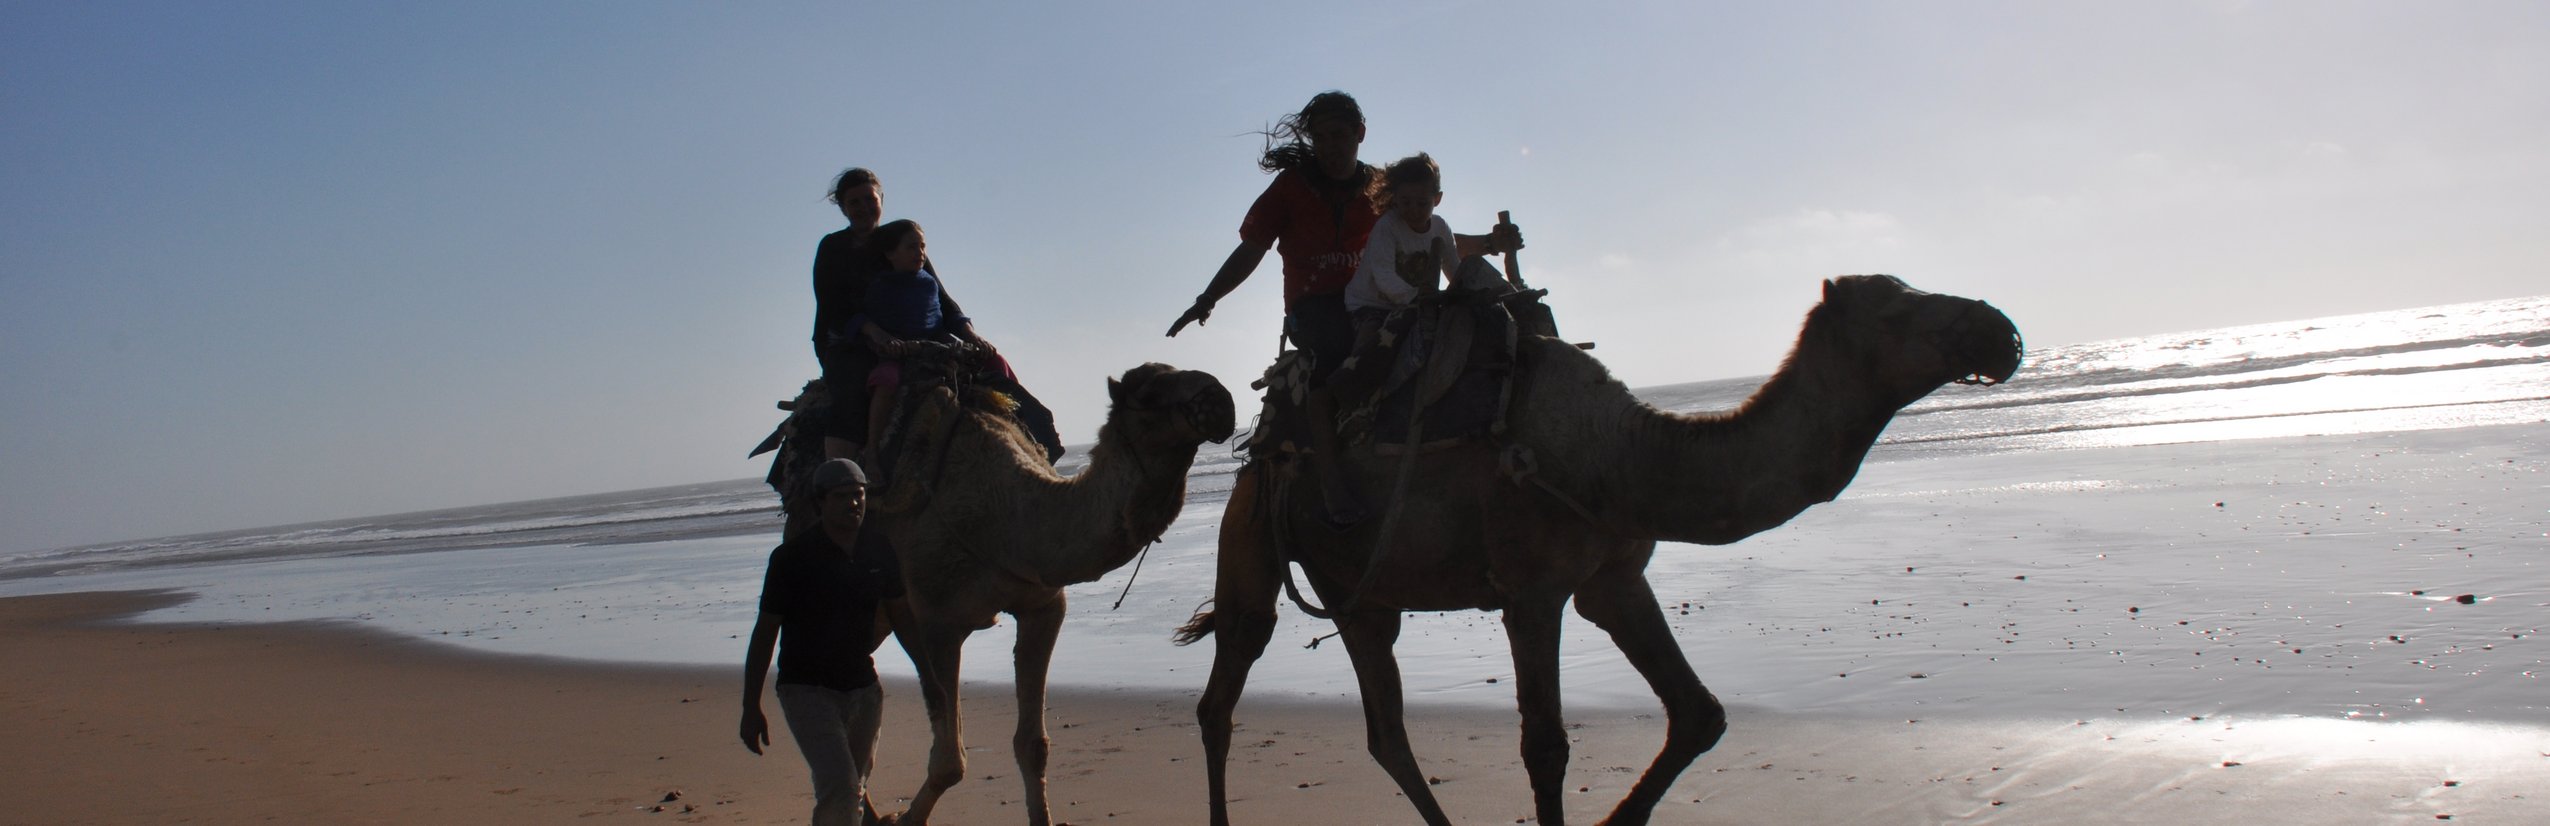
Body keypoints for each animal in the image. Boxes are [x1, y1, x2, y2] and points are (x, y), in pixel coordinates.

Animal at [867, 362, 1234, 826]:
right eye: (1149, 393)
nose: (1221, 398)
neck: (1003, 515)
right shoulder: (937, 620)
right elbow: (950, 759)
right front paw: (909, 817)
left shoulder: (1042, 607)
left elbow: (1032, 745)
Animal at [1178, 274, 2029, 820]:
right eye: (1900, 312)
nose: (2001, 329)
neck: (1617, 457)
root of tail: (1261, 443)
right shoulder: (1530, 590)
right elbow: (1546, 748)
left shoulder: (1613, 577)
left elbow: (1699, 715)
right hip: (1254, 532)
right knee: (1229, 682)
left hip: (1364, 594)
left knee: (1384, 730)